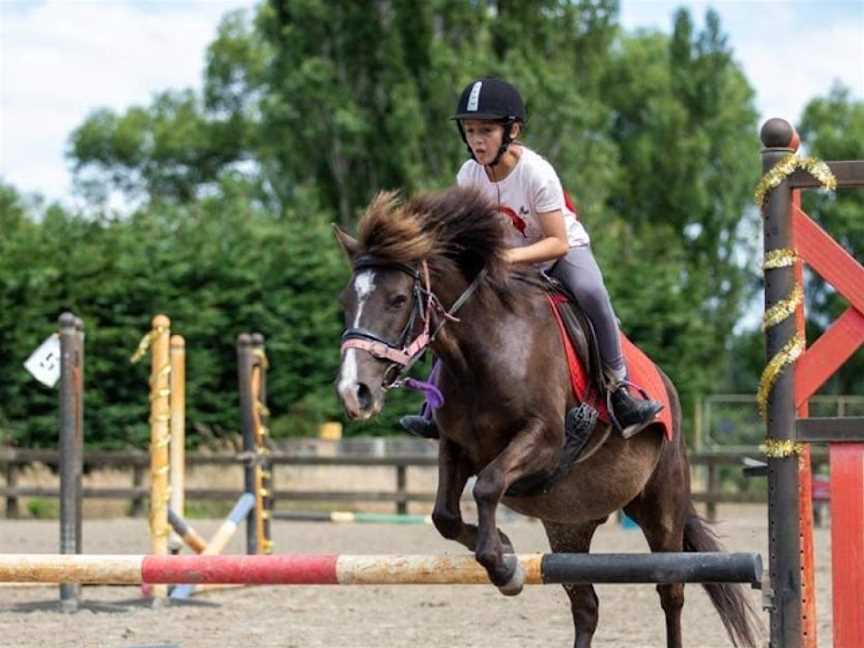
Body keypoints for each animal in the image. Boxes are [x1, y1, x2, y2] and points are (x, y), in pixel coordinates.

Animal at [334, 186, 760, 648]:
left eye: (397, 299)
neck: (483, 353)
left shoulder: (544, 440)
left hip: (661, 503)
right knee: (586, 604)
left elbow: (487, 486)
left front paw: (503, 564)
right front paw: (504, 548)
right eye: (345, 303)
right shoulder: (455, 446)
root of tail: (669, 389)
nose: (354, 392)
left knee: (671, 589)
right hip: (567, 524)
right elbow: (444, 514)